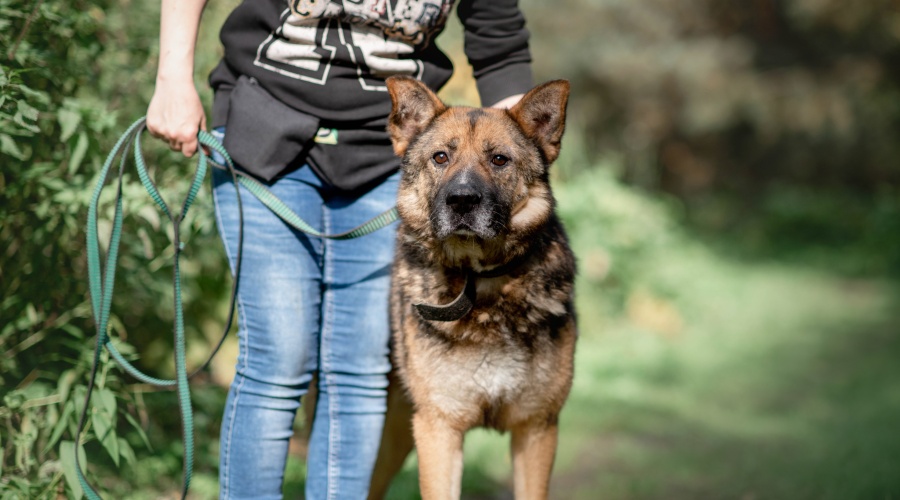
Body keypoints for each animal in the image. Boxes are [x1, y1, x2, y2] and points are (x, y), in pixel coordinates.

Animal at [365, 76, 578, 500]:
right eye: (440, 157)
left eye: (499, 160)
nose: (462, 200)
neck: (479, 281)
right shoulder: (439, 429)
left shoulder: (537, 429)